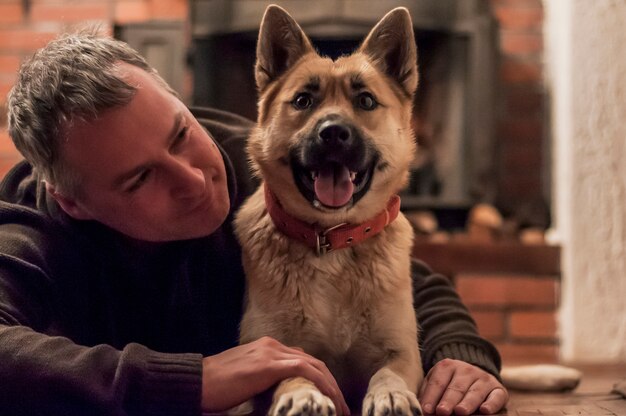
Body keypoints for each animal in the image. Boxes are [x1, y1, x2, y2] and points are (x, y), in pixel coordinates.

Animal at [234, 4, 424, 416]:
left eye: (366, 101)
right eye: (303, 101)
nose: (334, 132)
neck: (332, 239)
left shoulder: (402, 350)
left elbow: (390, 372)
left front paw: (390, 394)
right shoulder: (270, 346)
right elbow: (291, 369)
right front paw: (301, 394)